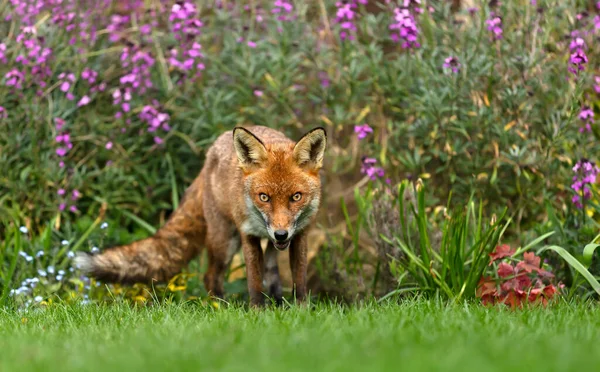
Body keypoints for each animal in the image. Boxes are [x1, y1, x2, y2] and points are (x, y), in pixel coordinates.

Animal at [76, 125, 328, 306]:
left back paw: (276, 303)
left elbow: (300, 282)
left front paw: (300, 312)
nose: (281, 234)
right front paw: (258, 313)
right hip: (224, 241)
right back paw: (221, 309)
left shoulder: (300, 234)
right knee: (211, 276)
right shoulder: (248, 234)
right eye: (264, 197)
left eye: (296, 197)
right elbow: (254, 284)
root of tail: (210, 154)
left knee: (270, 268)